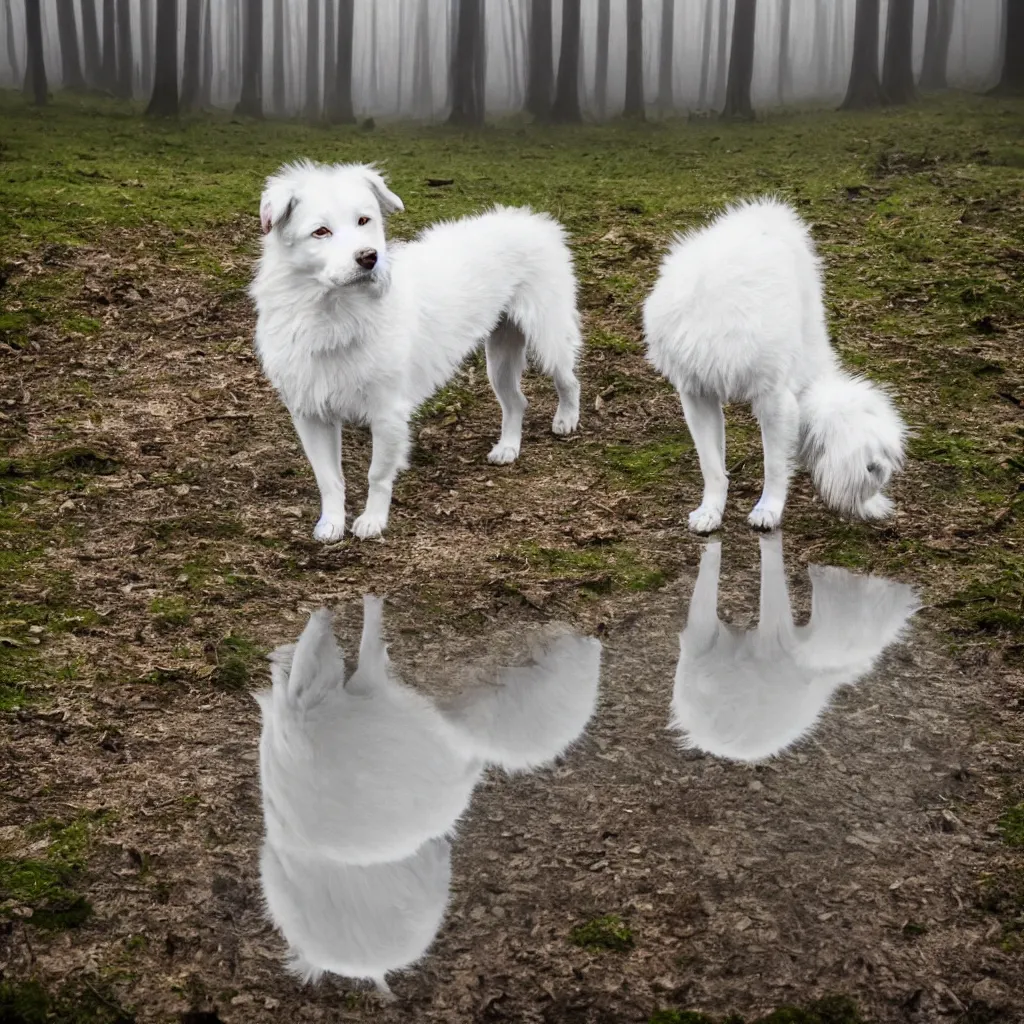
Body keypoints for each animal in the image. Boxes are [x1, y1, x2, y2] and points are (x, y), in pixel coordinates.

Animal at [249, 159, 585, 540]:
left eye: (364, 221)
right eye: (321, 232)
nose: (369, 258)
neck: (334, 313)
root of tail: (531, 219)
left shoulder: (388, 413)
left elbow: (378, 474)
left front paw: (373, 521)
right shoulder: (311, 414)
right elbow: (329, 479)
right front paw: (331, 524)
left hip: (548, 336)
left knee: (569, 380)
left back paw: (566, 420)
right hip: (499, 358)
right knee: (517, 402)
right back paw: (508, 448)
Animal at [643, 197, 909, 536]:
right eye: (872, 469)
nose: (883, 512)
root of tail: (766, 213)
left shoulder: (745, 398)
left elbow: (757, 464)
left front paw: (758, 509)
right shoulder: (710, 396)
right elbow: (724, 465)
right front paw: (722, 512)